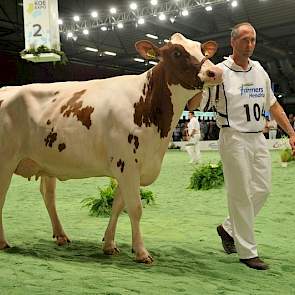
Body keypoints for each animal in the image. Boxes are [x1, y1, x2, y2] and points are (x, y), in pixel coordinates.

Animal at [0, 32, 223, 264]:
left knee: (48, 195)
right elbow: (135, 208)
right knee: (2, 196)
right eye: (177, 52)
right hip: (5, 160)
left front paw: (109, 244)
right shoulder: (127, 165)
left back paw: (61, 235)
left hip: (47, 161)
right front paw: (141, 252)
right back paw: (3, 242)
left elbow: (117, 206)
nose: (215, 72)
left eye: (202, 50)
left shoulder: (129, 168)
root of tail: (7, 88)